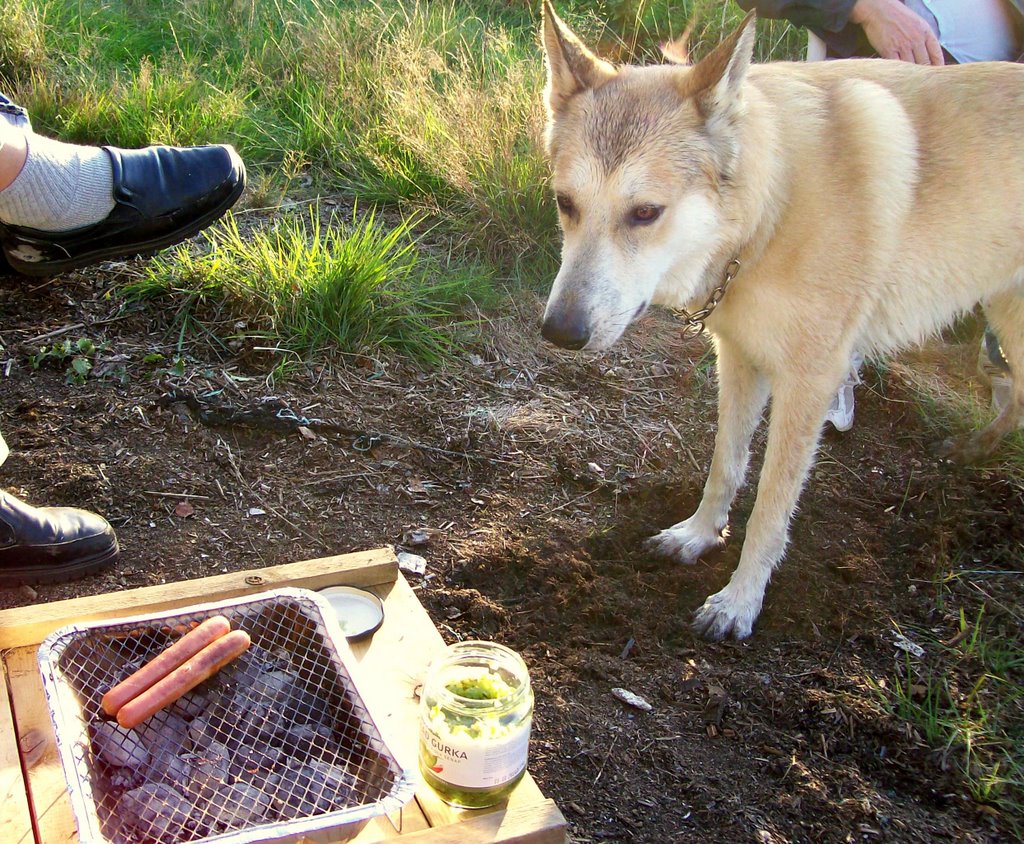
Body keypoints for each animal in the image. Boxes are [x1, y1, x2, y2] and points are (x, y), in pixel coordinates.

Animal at [540, 4, 1019, 639]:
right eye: (565, 204)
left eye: (645, 213)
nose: (559, 333)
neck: (775, 206)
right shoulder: (740, 361)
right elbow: (726, 465)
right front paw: (698, 537)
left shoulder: (808, 384)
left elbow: (769, 508)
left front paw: (739, 602)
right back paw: (975, 448)